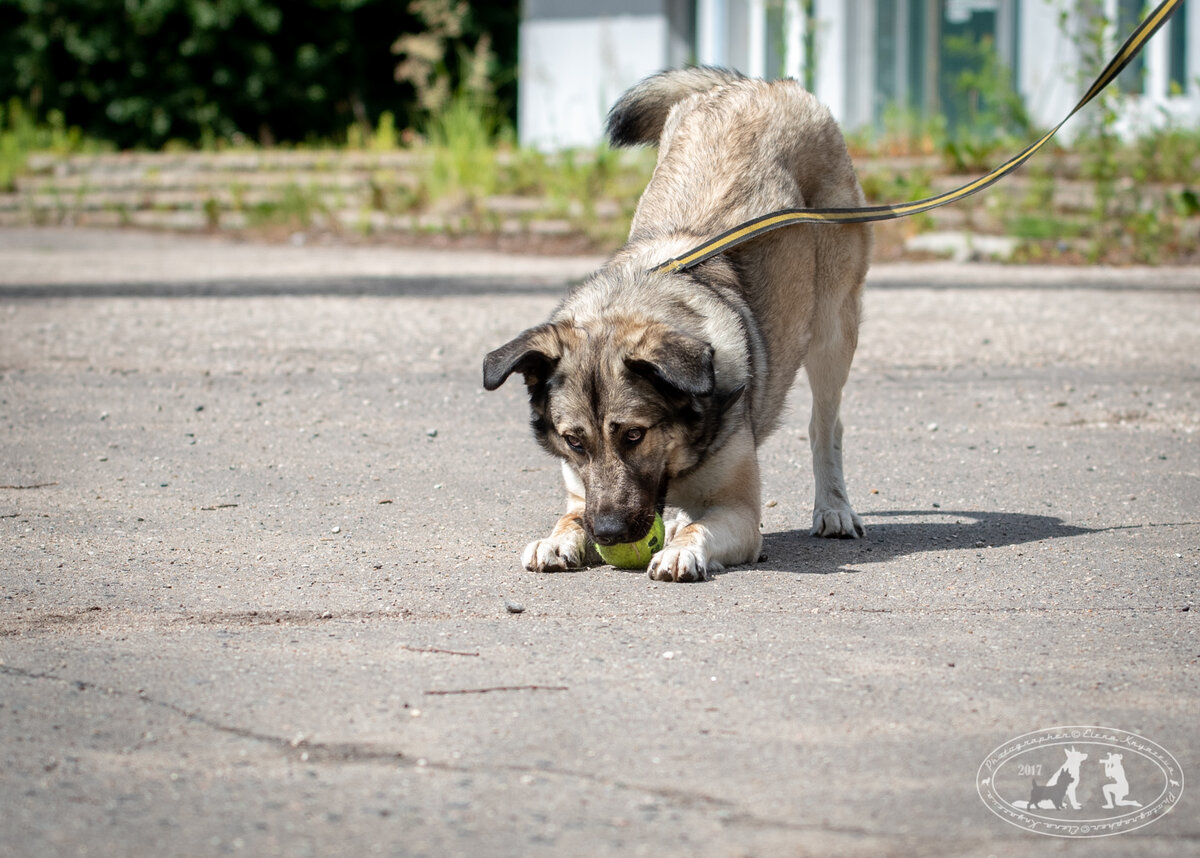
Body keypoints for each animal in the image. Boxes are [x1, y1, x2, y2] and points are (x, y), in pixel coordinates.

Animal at [480, 63, 873, 580]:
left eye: (634, 435)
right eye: (574, 441)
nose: (607, 533)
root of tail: (761, 85)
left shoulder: (739, 511)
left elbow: (702, 525)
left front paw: (682, 549)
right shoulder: (581, 496)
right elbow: (569, 517)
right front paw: (557, 539)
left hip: (833, 329)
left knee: (826, 426)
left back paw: (834, 508)